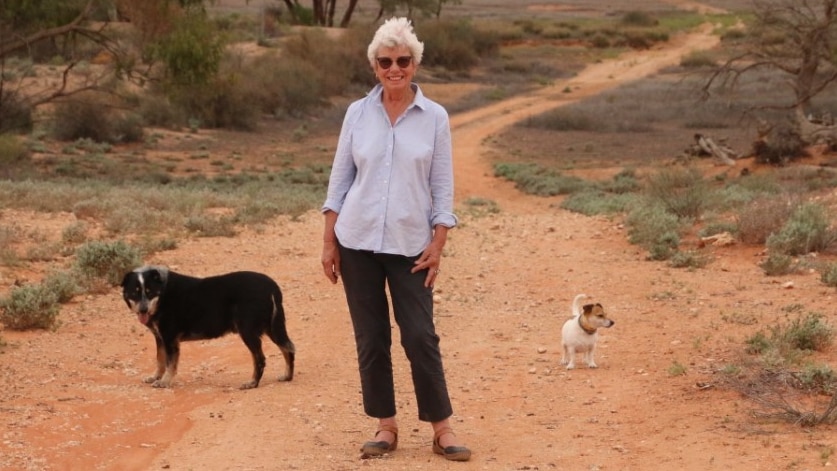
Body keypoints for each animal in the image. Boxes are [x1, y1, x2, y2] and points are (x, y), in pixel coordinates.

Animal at [121, 266, 294, 390]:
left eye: (150, 292)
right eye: (134, 293)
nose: (143, 310)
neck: (162, 294)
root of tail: (271, 286)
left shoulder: (169, 339)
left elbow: (170, 363)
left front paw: (164, 381)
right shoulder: (160, 337)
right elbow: (160, 360)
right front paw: (155, 377)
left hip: (248, 331)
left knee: (260, 359)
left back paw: (252, 383)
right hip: (272, 328)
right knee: (288, 349)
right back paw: (287, 376)